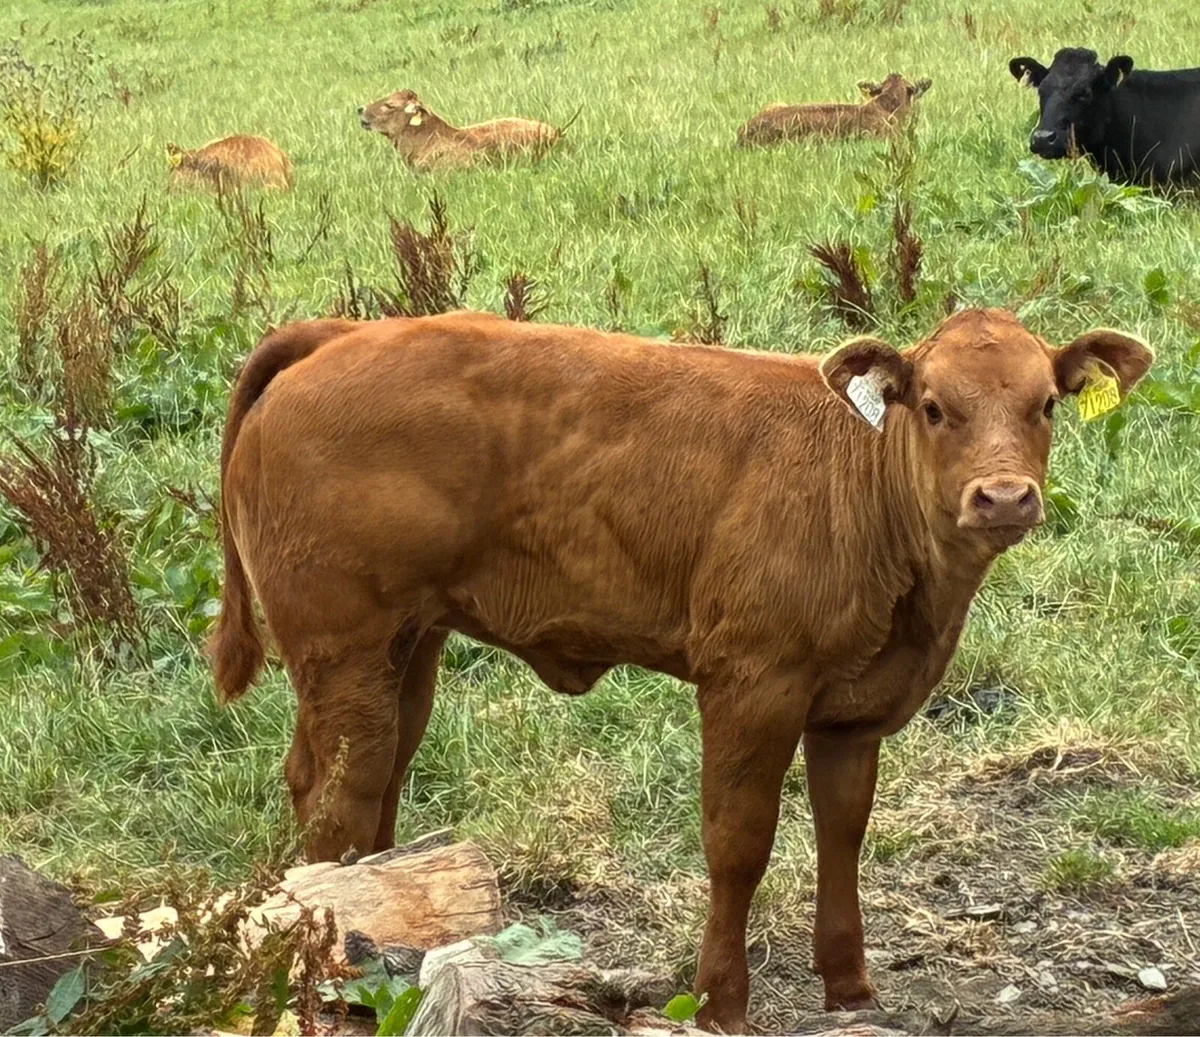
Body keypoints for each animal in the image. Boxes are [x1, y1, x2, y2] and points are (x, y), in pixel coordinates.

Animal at [211, 308, 1151, 1033]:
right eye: (932, 406)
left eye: (1045, 404)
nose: (1003, 496)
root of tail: (341, 331)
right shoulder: (752, 682)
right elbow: (739, 842)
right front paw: (720, 999)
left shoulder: (852, 712)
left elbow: (842, 831)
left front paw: (851, 987)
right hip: (345, 647)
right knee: (338, 789)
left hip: (410, 645)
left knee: (378, 779)